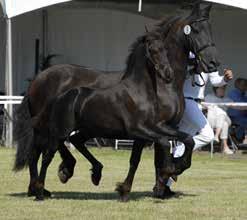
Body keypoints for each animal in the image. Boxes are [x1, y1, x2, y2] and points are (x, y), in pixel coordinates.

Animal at [14, 2, 218, 201]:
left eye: (210, 28)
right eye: (195, 29)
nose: (213, 63)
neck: (161, 86)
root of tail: (38, 77)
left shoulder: (162, 127)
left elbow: (163, 152)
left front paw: (159, 186)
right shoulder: (150, 128)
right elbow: (154, 154)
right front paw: (161, 180)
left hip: (86, 128)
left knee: (64, 143)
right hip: (53, 126)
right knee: (41, 151)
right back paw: (50, 181)